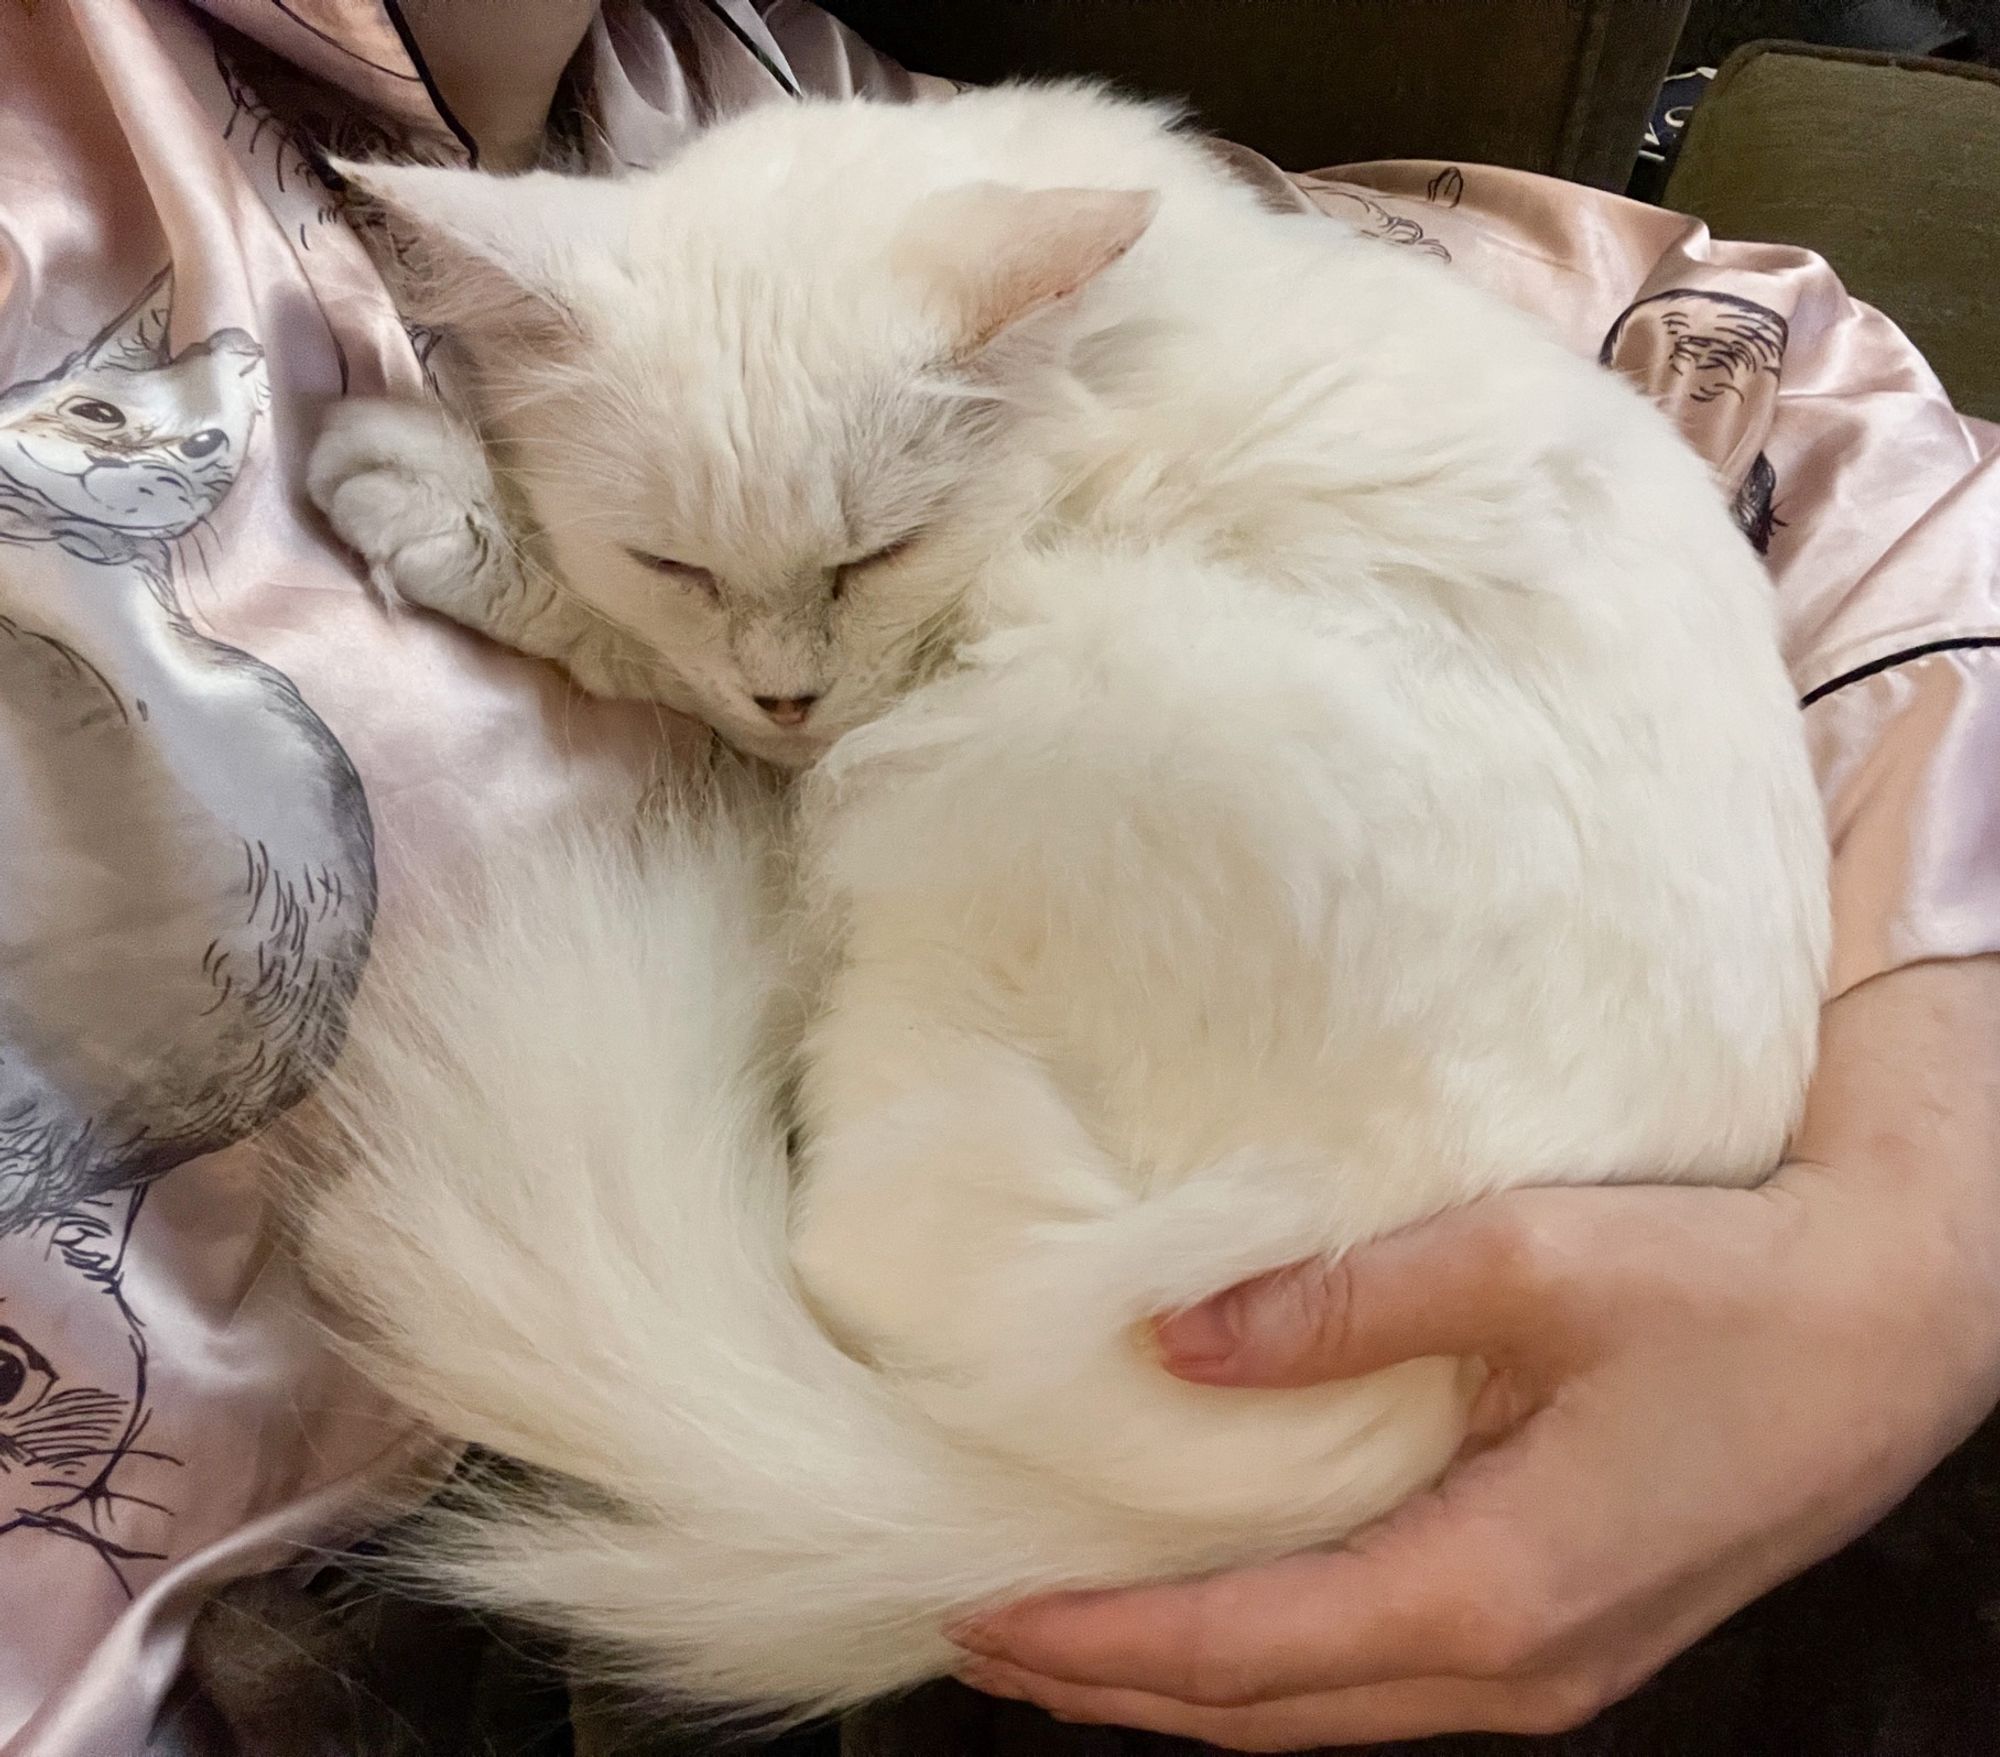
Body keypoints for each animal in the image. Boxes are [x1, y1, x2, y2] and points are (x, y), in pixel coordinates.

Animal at [300, 82, 1832, 1720]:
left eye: (873, 558)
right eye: (681, 561)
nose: (783, 692)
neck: (1096, 384)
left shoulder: (861, 705)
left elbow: (590, 626)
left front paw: (413, 488)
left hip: (1046, 756)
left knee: (845, 1245)